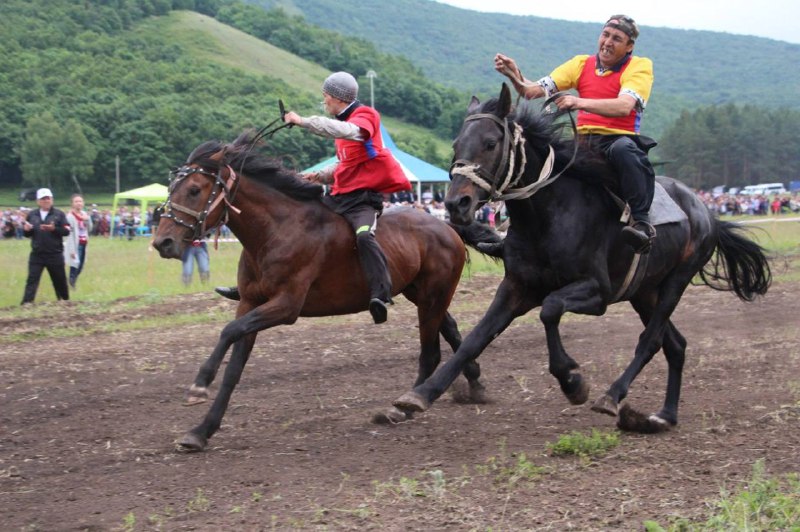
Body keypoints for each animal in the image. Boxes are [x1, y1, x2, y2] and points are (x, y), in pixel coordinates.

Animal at [152, 131, 496, 450]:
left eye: (194, 190)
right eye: (171, 190)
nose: (162, 242)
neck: (276, 230)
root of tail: (446, 225)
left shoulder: (286, 306)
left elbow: (228, 331)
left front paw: (200, 382)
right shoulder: (249, 303)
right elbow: (234, 366)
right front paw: (202, 430)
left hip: (432, 296)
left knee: (431, 351)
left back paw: (405, 407)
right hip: (422, 294)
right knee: (450, 328)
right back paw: (474, 383)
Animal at [396, 84, 772, 432]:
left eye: (490, 143)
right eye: (456, 144)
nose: (456, 204)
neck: (547, 215)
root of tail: (705, 211)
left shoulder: (597, 291)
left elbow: (550, 310)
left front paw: (572, 380)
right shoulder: (516, 288)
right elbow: (474, 340)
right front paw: (422, 394)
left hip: (674, 284)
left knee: (651, 341)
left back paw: (612, 396)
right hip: (644, 292)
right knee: (675, 345)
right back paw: (665, 415)